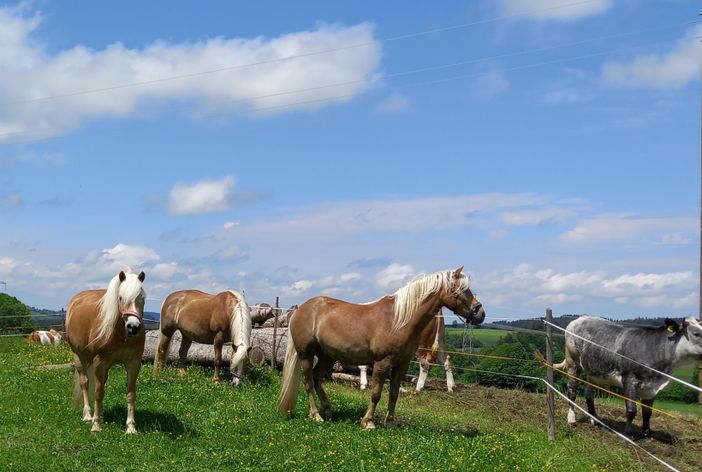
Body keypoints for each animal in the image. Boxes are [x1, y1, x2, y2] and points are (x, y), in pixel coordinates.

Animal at [67, 270, 147, 436]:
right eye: (120, 297)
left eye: (142, 298)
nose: (133, 327)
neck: (120, 334)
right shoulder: (100, 362)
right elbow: (98, 393)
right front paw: (96, 426)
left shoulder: (134, 363)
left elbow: (130, 393)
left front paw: (131, 427)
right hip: (79, 357)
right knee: (85, 383)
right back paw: (88, 415)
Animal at [278, 268, 486, 430]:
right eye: (462, 289)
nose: (481, 313)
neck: (399, 320)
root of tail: (301, 309)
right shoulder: (382, 363)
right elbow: (376, 393)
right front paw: (368, 422)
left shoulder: (401, 364)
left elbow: (394, 393)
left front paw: (390, 422)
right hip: (306, 354)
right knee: (308, 381)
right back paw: (316, 415)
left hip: (327, 356)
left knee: (317, 378)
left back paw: (327, 409)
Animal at [560, 316, 700, 436]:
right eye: (696, 333)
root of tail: (579, 318)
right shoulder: (629, 379)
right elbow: (632, 410)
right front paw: (627, 434)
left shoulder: (651, 388)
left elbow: (648, 412)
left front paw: (646, 433)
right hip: (573, 362)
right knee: (572, 389)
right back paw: (571, 419)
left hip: (594, 371)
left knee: (589, 393)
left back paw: (594, 419)